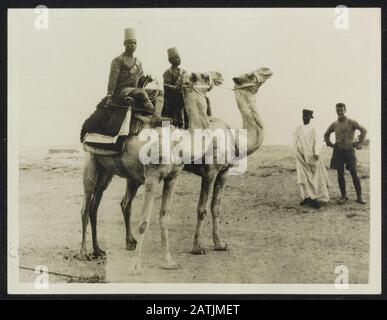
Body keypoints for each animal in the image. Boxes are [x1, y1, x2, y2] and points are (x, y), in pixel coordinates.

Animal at [79, 72, 224, 272]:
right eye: (200, 75)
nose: (219, 76)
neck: (177, 141)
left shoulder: (172, 177)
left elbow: (164, 217)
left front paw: (169, 261)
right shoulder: (152, 177)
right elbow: (144, 222)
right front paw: (136, 266)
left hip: (107, 171)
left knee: (97, 205)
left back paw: (99, 249)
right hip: (91, 163)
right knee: (85, 208)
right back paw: (84, 253)